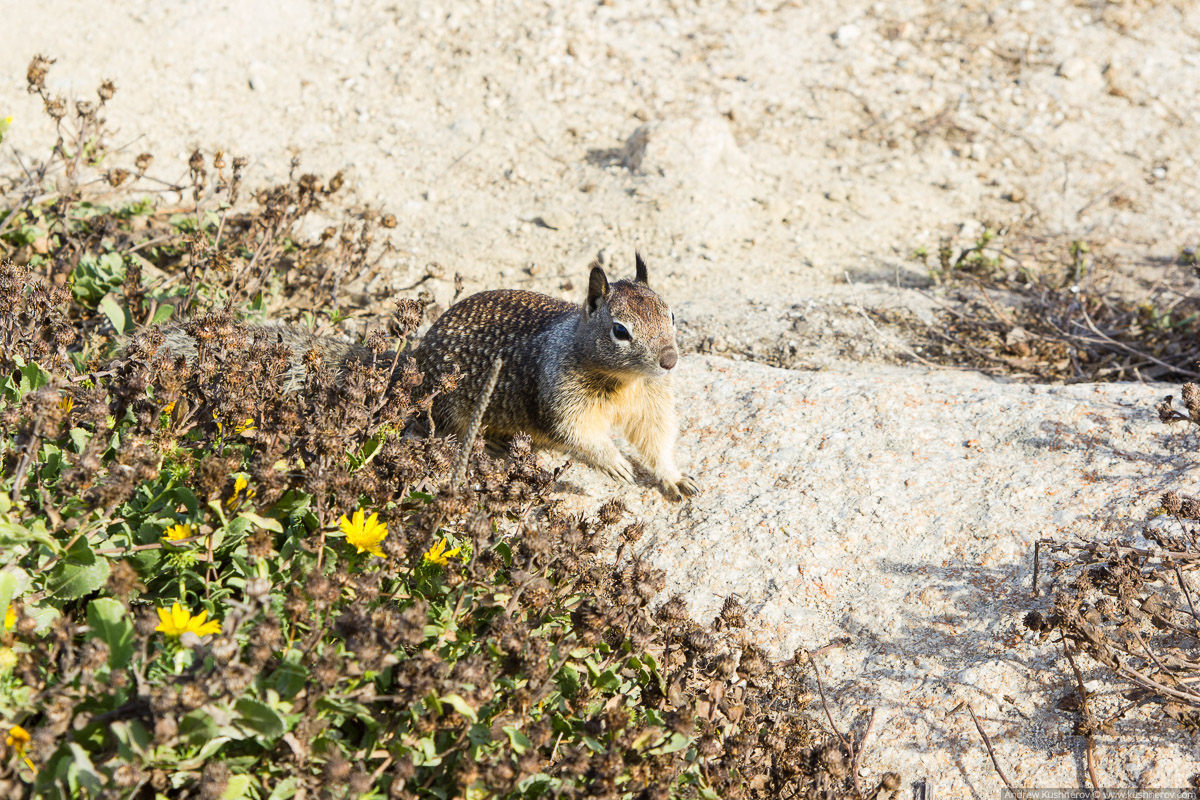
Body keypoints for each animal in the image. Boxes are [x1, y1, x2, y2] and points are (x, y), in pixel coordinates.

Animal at [417, 253, 700, 496]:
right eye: (620, 331)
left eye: (672, 315)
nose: (670, 360)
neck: (626, 380)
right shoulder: (562, 402)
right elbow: (580, 435)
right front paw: (616, 464)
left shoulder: (652, 404)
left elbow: (657, 440)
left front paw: (676, 478)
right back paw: (488, 442)